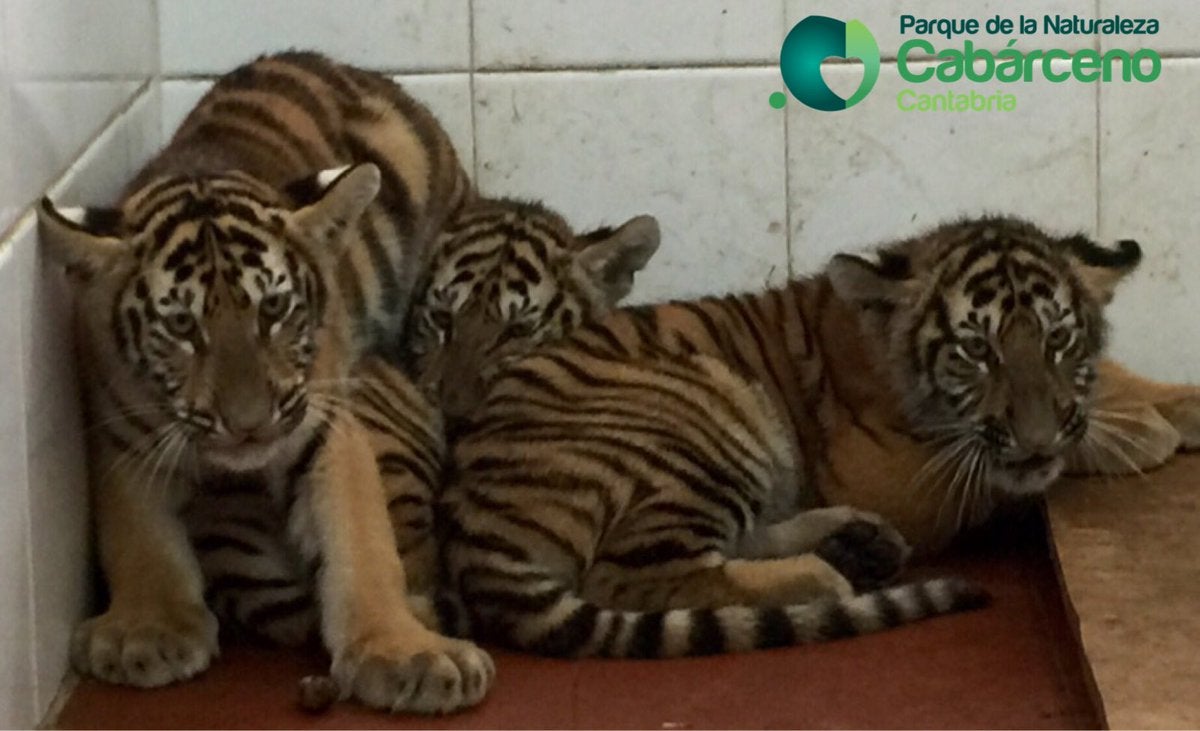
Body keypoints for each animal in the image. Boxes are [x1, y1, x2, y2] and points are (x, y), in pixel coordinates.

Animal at [36, 51, 493, 713]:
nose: (249, 427)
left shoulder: (323, 424)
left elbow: (363, 539)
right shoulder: (122, 429)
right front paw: (147, 629)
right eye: (182, 324)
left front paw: (406, 652)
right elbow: (134, 531)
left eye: (274, 309)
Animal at [436, 214, 1200, 659]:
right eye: (976, 349)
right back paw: (825, 575)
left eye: (1057, 340)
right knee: (643, 575)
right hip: (707, 410)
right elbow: (1005, 466)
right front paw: (1137, 433)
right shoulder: (900, 475)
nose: (1038, 442)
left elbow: (1110, 385)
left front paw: (1172, 404)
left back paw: (856, 542)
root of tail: (474, 517)